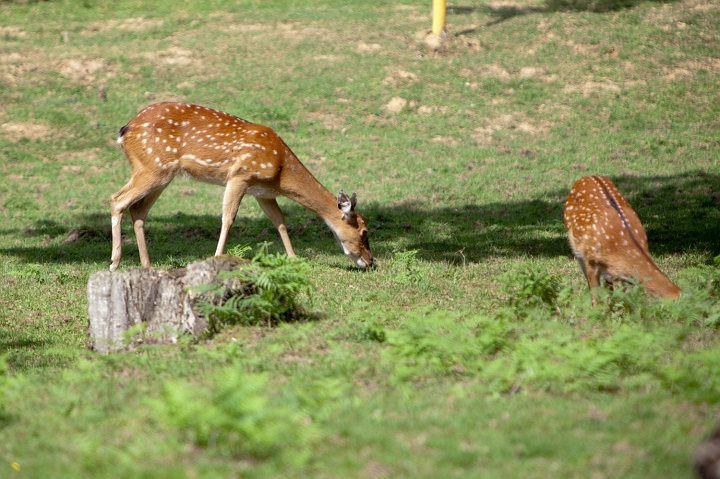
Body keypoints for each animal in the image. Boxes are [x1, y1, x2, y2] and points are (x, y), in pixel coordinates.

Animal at [109, 102, 374, 271]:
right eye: (364, 232)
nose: (371, 261)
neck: (280, 169)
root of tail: (124, 131)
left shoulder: (263, 192)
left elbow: (280, 221)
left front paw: (293, 258)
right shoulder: (240, 175)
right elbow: (228, 217)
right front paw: (217, 258)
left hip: (160, 173)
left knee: (138, 210)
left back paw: (147, 265)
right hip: (153, 167)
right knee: (117, 199)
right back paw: (114, 262)